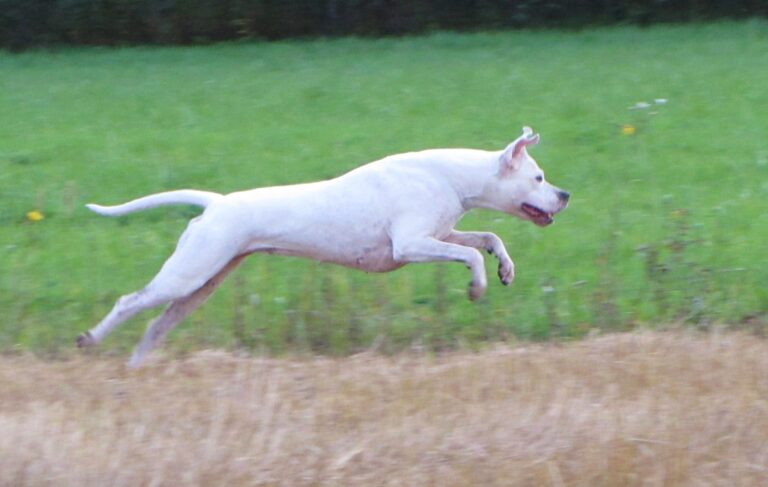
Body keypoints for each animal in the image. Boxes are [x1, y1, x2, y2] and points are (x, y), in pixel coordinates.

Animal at [81, 127, 568, 366]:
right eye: (539, 177)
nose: (565, 195)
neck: (450, 175)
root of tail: (217, 202)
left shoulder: (440, 236)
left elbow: (487, 238)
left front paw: (504, 268)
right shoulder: (411, 245)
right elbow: (469, 254)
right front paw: (477, 286)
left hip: (201, 285)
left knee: (156, 324)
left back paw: (137, 367)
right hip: (187, 275)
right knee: (130, 303)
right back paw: (90, 340)